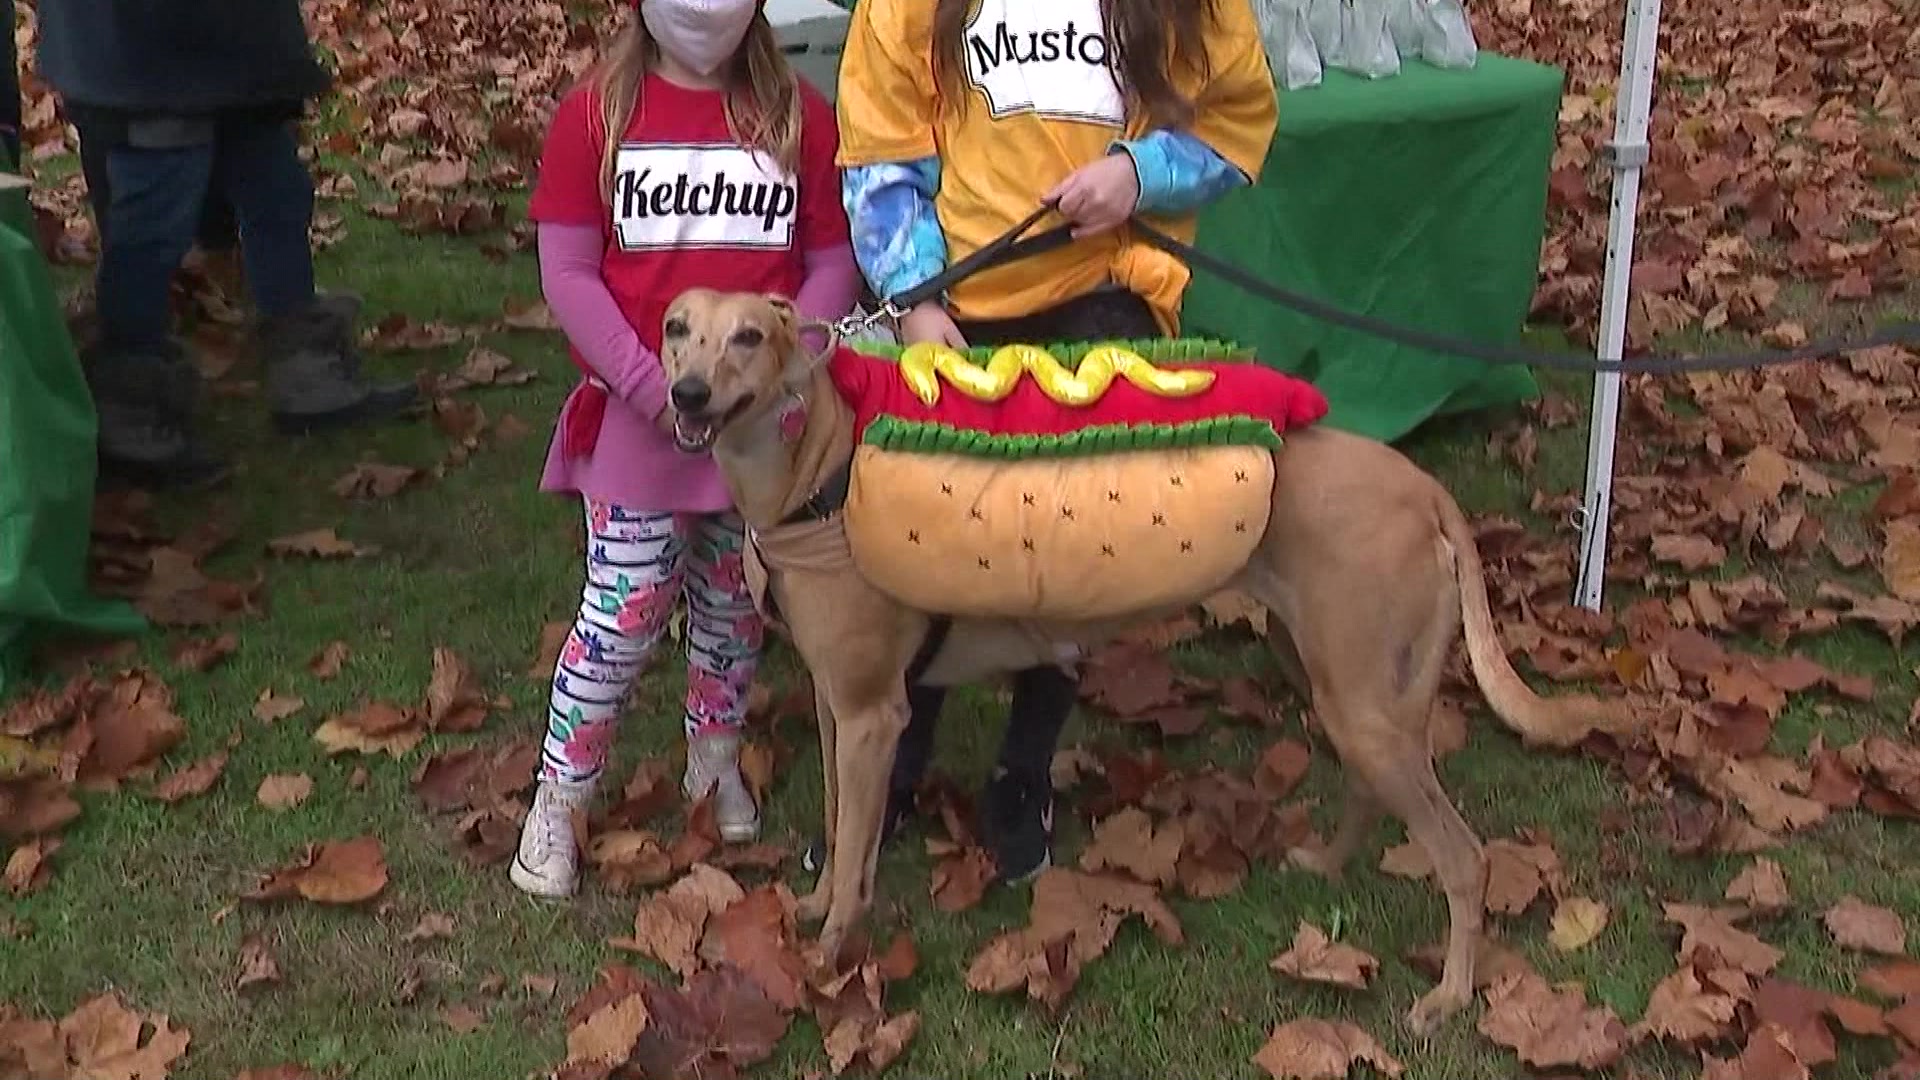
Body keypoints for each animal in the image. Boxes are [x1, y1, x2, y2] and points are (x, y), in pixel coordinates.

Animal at [652, 284, 1628, 1022]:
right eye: (676, 328)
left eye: (748, 335)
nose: (688, 396)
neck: (817, 470)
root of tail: (1425, 488)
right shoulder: (836, 706)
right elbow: (837, 828)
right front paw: (816, 909)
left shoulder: (870, 715)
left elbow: (855, 851)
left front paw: (828, 956)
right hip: (1350, 689)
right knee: (1368, 787)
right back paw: (1328, 864)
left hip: (1366, 706)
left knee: (1467, 860)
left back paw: (1452, 997)